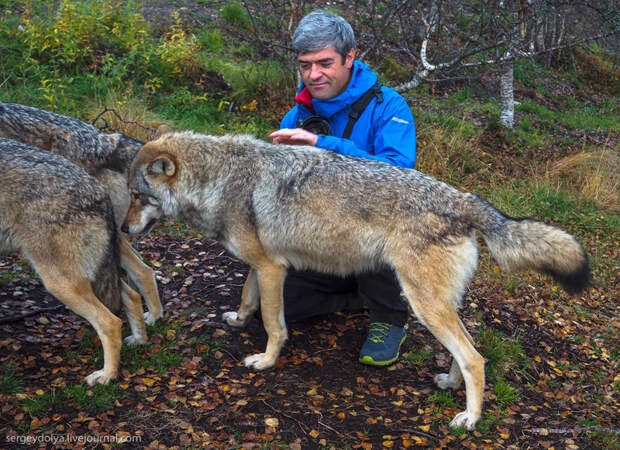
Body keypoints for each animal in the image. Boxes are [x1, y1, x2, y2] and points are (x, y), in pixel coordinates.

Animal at [0, 136, 149, 384]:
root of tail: (99, 192)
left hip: (60, 284)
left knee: (110, 322)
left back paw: (107, 376)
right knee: (133, 295)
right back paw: (139, 340)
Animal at [122, 130, 592, 428]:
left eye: (137, 196)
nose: (123, 230)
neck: (219, 179)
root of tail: (465, 199)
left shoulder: (274, 269)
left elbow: (273, 324)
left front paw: (266, 361)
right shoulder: (262, 266)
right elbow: (245, 297)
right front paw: (238, 321)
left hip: (420, 302)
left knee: (475, 358)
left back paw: (469, 419)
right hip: (438, 305)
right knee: (465, 351)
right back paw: (449, 384)